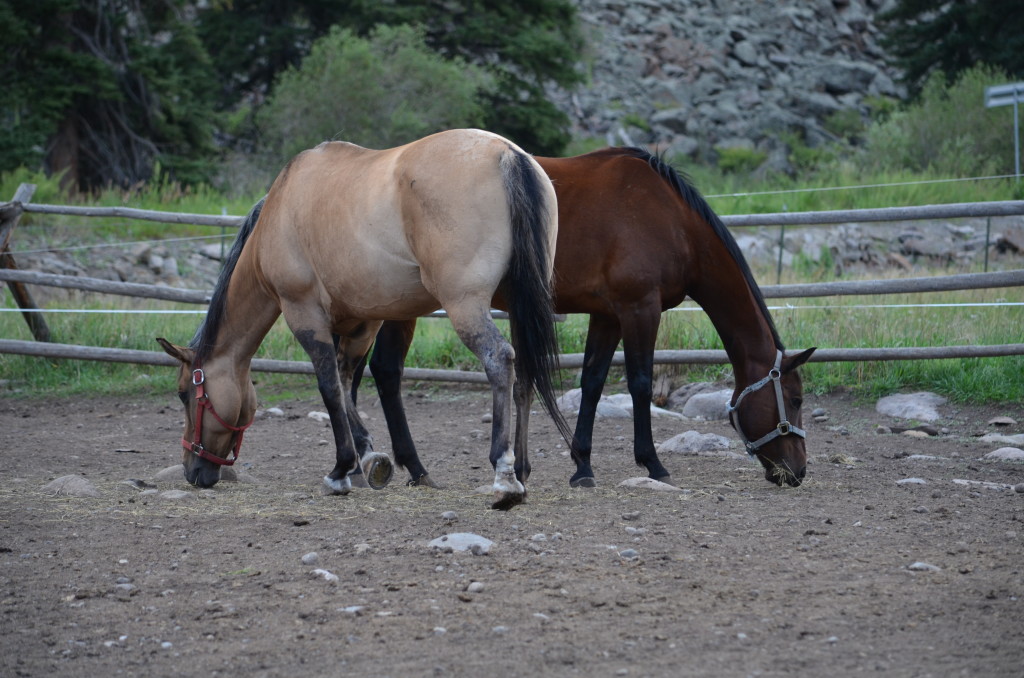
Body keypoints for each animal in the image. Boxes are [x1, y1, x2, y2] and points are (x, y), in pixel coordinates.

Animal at [154, 129, 569, 510]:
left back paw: (504, 474)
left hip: (465, 305)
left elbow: (330, 388)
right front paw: (368, 458)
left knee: (500, 359)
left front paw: (341, 470)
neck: (281, 208)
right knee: (525, 374)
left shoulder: (304, 313)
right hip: (518, 304)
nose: (192, 470)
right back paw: (522, 469)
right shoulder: (360, 322)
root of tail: (508, 154)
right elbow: (346, 382)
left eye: (185, 393)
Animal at [354, 147, 815, 489]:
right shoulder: (639, 309)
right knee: (386, 370)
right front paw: (652, 463)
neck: (673, 222)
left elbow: (592, 383)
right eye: (795, 399)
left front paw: (582, 465)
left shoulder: (607, 315)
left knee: (365, 369)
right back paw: (411, 467)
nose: (798, 471)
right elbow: (639, 382)